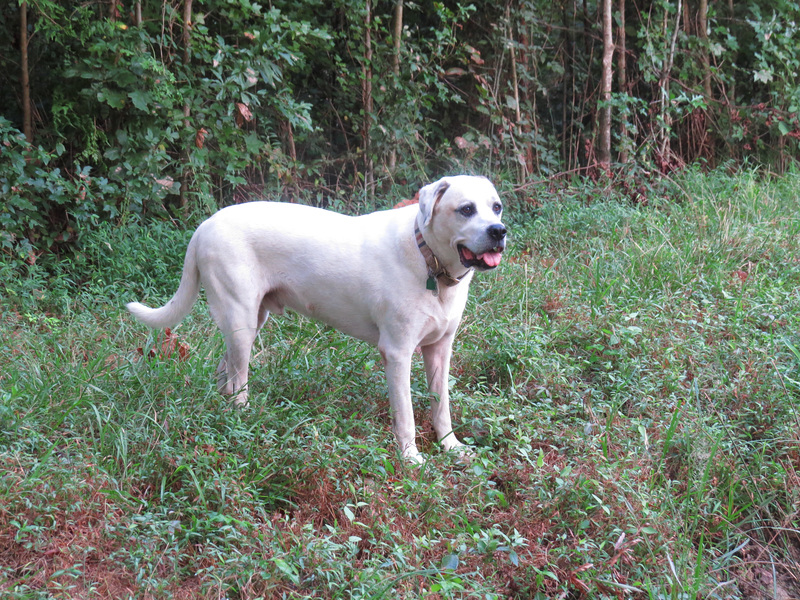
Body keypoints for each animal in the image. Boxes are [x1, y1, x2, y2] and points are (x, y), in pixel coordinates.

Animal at [130, 176, 506, 462]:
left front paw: (451, 447)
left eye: (496, 207)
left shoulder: (440, 350)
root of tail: (204, 226)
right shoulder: (397, 353)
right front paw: (411, 457)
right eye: (466, 209)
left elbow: (442, 407)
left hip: (250, 321)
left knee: (226, 372)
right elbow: (407, 415)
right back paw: (243, 418)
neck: (428, 259)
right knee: (238, 381)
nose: (498, 231)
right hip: (241, 321)